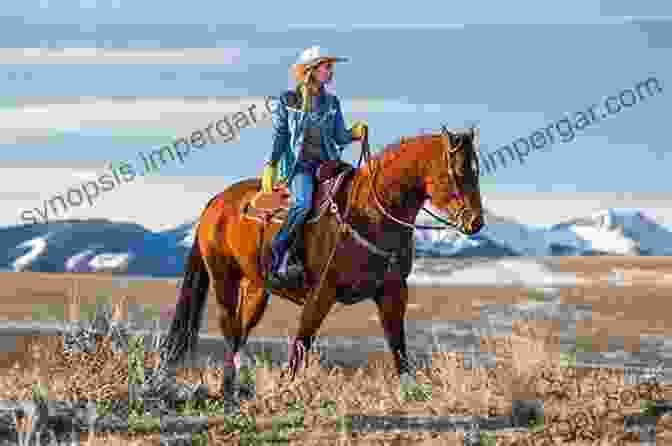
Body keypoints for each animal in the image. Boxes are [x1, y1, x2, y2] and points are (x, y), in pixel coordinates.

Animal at [158, 124, 484, 408]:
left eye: (476, 171)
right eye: (457, 172)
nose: (476, 222)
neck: (372, 212)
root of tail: (216, 202)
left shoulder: (392, 291)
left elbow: (398, 345)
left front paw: (410, 390)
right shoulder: (322, 292)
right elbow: (302, 343)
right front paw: (286, 389)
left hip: (256, 289)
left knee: (241, 330)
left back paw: (234, 386)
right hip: (223, 276)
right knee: (229, 327)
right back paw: (227, 388)